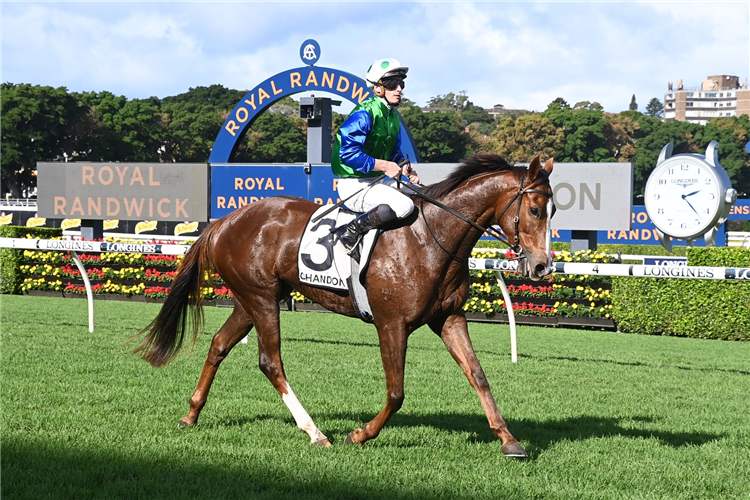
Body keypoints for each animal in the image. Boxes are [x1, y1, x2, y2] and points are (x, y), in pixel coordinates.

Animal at [135, 154, 556, 458]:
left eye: (553, 211)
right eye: (535, 210)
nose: (541, 266)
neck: (429, 239)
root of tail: (225, 220)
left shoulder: (449, 318)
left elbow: (478, 375)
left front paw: (508, 439)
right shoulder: (391, 324)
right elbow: (396, 393)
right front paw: (360, 434)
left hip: (251, 299)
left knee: (219, 345)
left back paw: (191, 414)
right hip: (261, 299)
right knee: (271, 362)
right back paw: (316, 433)